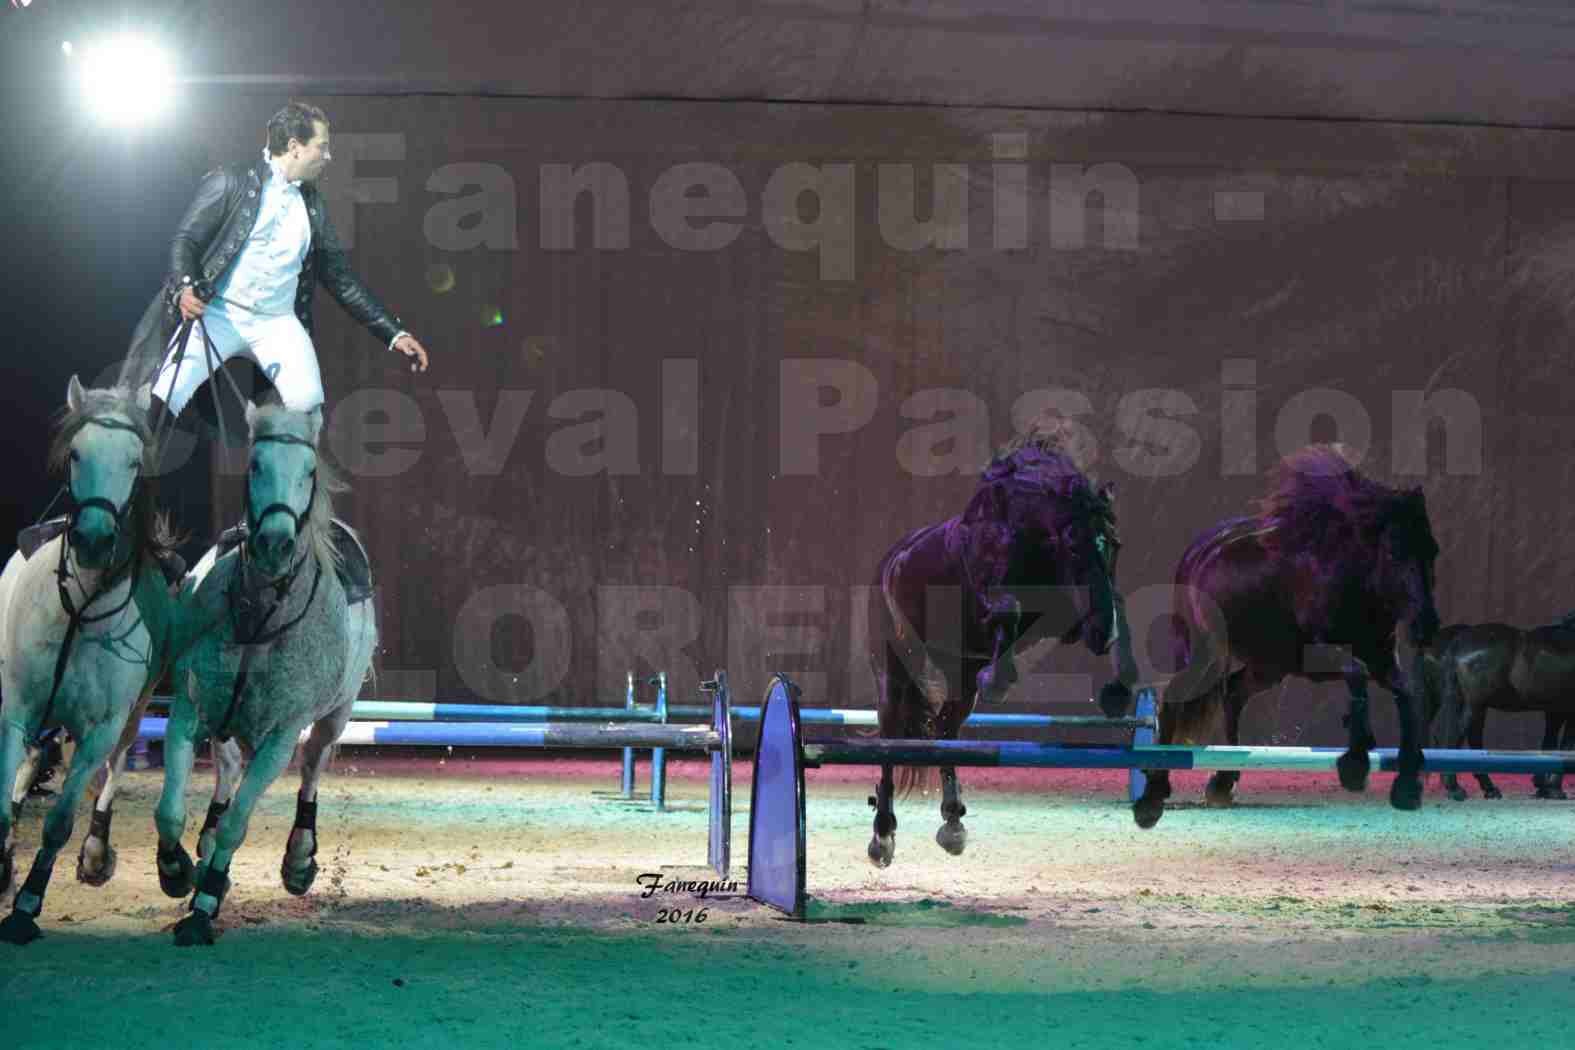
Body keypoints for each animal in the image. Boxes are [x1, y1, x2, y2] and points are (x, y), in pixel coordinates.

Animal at [0, 376, 184, 944]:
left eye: (134, 460)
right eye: (76, 452)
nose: (94, 541)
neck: (79, 607)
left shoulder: (102, 726)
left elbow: (60, 820)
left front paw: (26, 906)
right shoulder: (16, 710)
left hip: (131, 715)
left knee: (115, 766)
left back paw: (97, 853)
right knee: (30, 766)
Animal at [154, 399, 378, 944]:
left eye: (309, 471)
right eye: (255, 465)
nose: (275, 544)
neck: (261, 615)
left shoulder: (280, 738)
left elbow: (240, 822)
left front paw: (203, 908)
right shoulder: (188, 711)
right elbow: (170, 811)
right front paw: (177, 870)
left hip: (335, 715)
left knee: (313, 766)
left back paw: (298, 860)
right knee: (228, 774)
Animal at [1134, 443, 1442, 831]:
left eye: (1432, 550)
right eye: (1392, 551)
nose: (1426, 626)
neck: (1351, 579)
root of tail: (1198, 553)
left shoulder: (1382, 660)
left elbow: (1407, 695)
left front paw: (1405, 786)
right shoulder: (1317, 658)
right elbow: (1356, 674)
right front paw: (1355, 765)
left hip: (1267, 666)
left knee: (1233, 695)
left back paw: (1223, 781)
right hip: (1210, 656)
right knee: (1176, 698)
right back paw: (1155, 790)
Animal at [1417, 610, 1575, 799]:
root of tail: (1458, 643)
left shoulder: (1555, 710)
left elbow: (1550, 743)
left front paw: (1544, 787)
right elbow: (1566, 746)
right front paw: (1554, 789)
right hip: (1473, 705)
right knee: (1455, 737)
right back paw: (1455, 789)